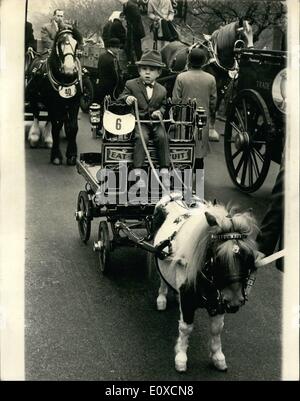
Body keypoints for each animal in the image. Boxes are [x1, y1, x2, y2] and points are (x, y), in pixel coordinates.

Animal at [25, 27, 82, 164]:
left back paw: (47, 138)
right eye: (60, 44)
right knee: (36, 114)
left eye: (76, 43)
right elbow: (56, 126)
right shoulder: (54, 104)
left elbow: (72, 127)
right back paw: (34, 136)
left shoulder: (74, 103)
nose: (69, 69)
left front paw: (72, 155)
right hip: (34, 98)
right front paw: (56, 156)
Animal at [152, 192, 258, 370]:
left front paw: (217, 356)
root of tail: (173, 194)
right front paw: (181, 357)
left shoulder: (220, 301)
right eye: (218, 258)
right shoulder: (188, 300)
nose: (235, 302)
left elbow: (216, 329)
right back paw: (161, 297)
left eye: (248, 258)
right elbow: (186, 328)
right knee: (161, 279)